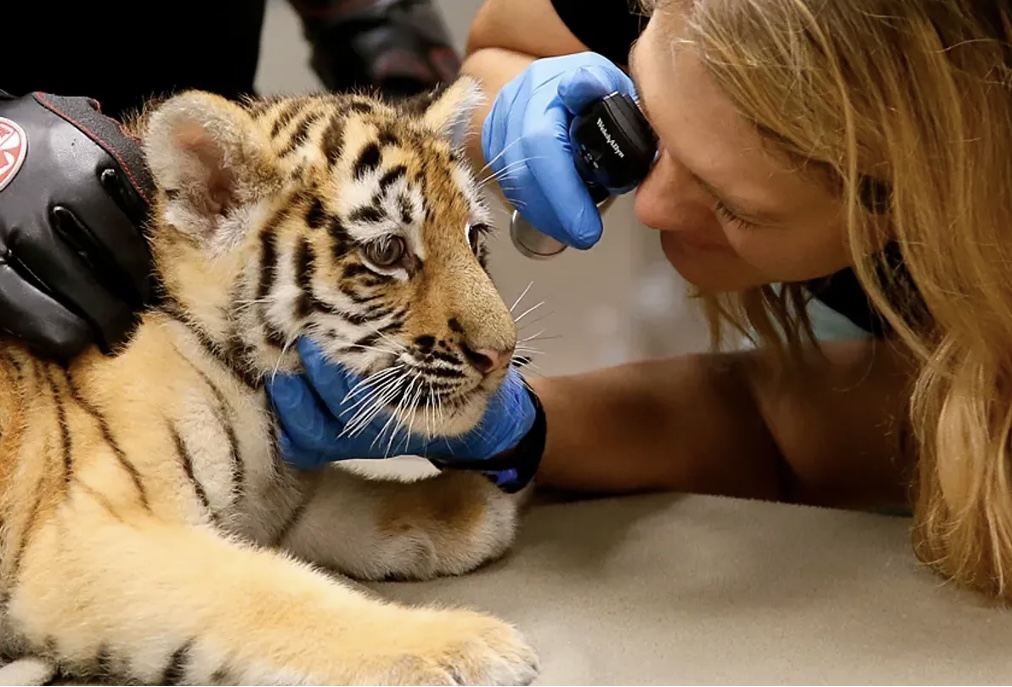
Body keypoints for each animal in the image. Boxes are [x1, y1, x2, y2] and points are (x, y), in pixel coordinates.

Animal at [0, 77, 541, 686]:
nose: (501, 353)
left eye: (474, 237)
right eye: (388, 251)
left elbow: (352, 503)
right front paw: (464, 646)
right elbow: (286, 598)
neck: (258, 397)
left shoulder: (277, 497)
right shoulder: (90, 536)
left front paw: (475, 505)